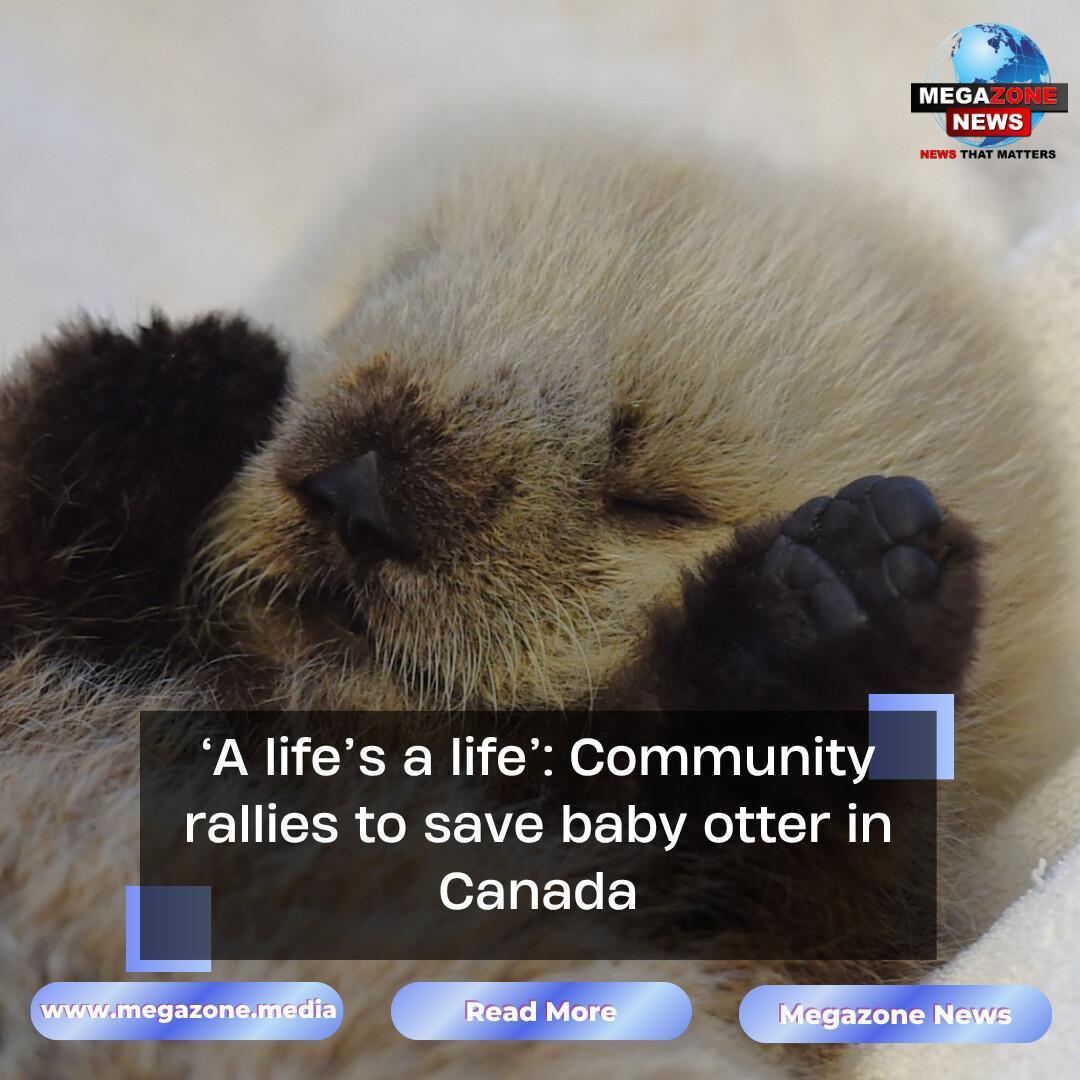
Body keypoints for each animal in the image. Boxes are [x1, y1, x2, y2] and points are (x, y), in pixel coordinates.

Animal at [0, 114, 1066, 1077]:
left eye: (655, 499)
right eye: (363, 307)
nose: (357, 491)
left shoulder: (759, 949)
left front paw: (836, 601)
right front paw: (172, 378)